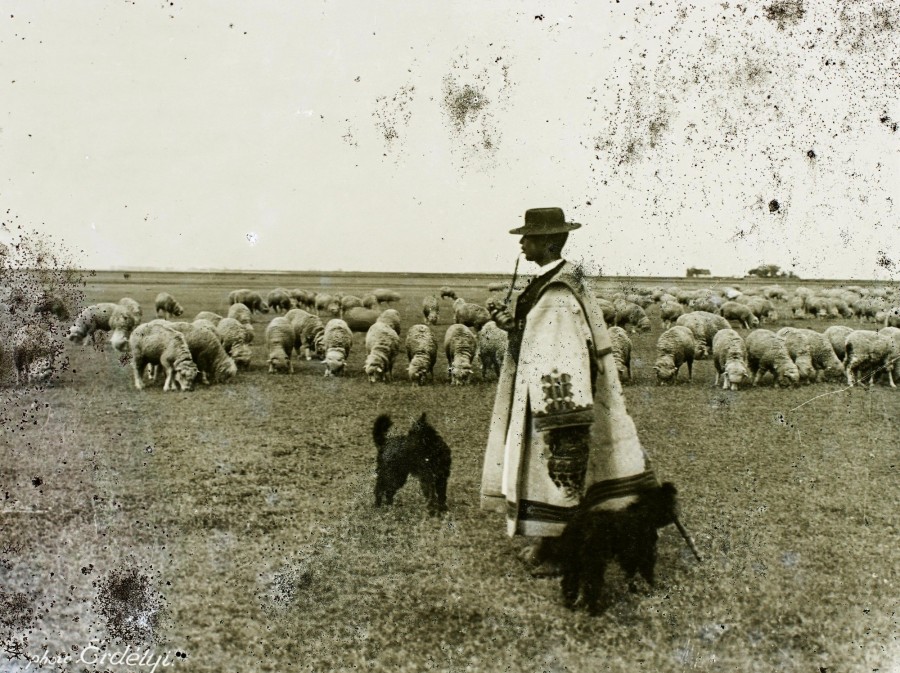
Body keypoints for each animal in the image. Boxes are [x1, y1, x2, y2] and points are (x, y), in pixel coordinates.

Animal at [552, 484, 680, 616]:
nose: (675, 514)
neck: (643, 512)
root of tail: (576, 529)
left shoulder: (629, 556)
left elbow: (631, 574)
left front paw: (634, 590)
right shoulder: (643, 552)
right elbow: (646, 573)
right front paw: (653, 588)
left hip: (573, 563)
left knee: (569, 582)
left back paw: (570, 605)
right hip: (593, 563)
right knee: (591, 585)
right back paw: (594, 610)